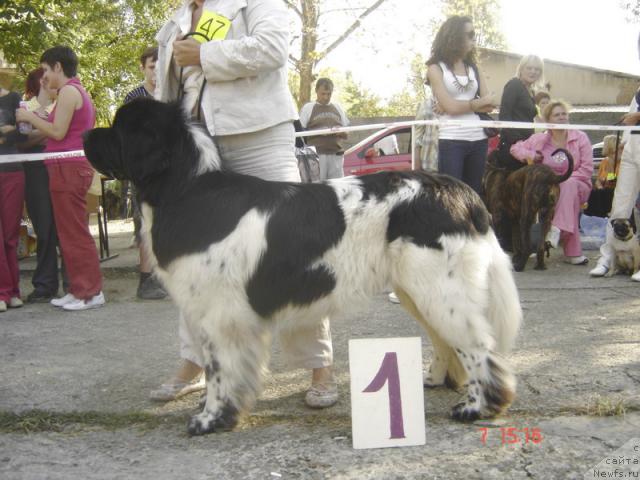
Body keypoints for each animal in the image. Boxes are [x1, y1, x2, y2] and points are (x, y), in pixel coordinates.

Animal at [82, 97, 524, 436]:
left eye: (119, 128)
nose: (85, 135)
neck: (187, 188)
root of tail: (459, 191)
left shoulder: (220, 315)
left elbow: (219, 372)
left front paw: (209, 419)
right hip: (419, 290)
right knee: (447, 340)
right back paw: (435, 381)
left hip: (440, 290)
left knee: (479, 348)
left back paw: (477, 408)